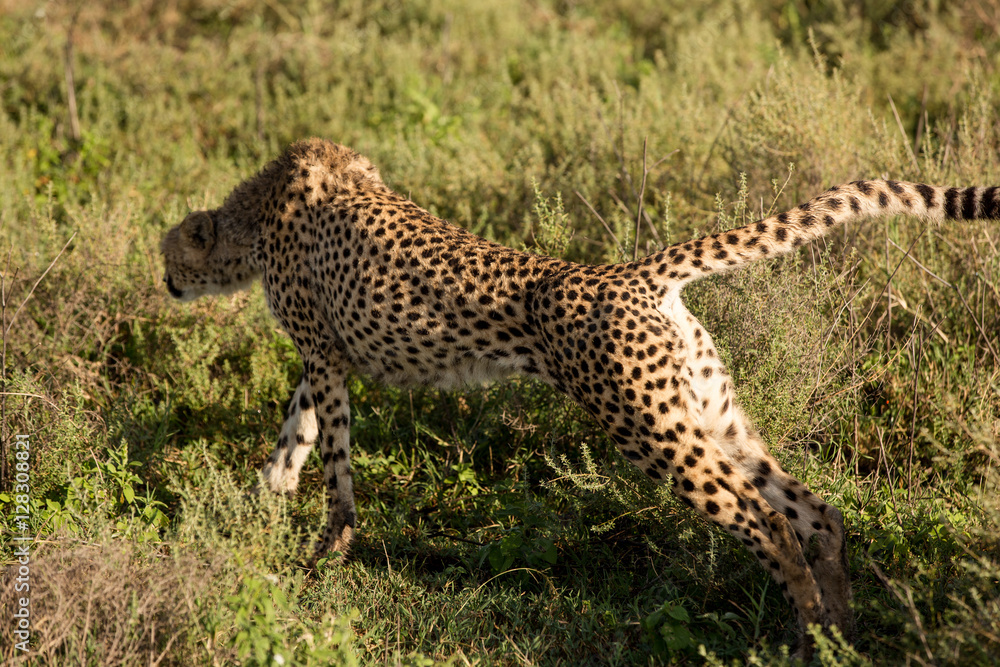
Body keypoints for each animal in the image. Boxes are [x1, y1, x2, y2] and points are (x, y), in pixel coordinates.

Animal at [161, 137, 1000, 651]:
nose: (164, 281)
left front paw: (325, 543)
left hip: (650, 428)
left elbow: (331, 451)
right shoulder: (324, 355)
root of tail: (631, 273)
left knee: (766, 519)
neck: (256, 214)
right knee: (818, 511)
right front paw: (266, 491)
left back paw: (802, 633)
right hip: (706, 410)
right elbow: (297, 425)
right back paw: (837, 635)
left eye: (169, 254)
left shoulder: (325, 351)